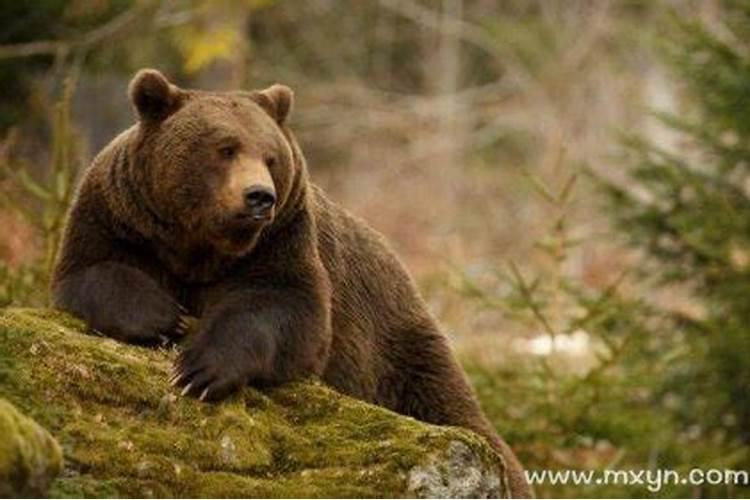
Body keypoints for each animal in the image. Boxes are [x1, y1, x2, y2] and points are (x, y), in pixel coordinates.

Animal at [52, 69, 532, 497]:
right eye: (225, 148)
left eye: (271, 156)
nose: (259, 197)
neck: (200, 246)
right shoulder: (119, 216)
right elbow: (92, 272)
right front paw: (165, 317)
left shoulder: (282, 240)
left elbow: (284, 309)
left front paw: (199, 369)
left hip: (395, 347)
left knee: (449, 404)